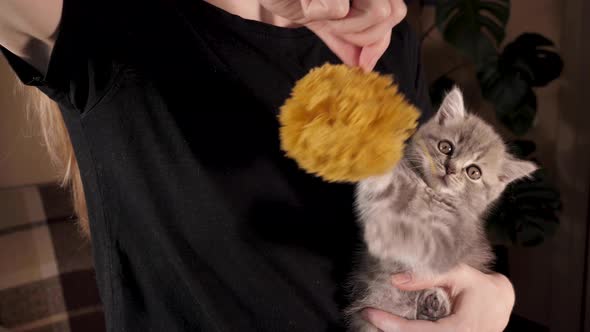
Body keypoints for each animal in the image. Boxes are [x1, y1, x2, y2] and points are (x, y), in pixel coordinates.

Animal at [346, 87, 536, 330]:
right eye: (446, 147)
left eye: (473, 172)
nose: (450, 168)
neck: (430, 193)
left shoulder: (449, 239)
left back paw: (435, 302)